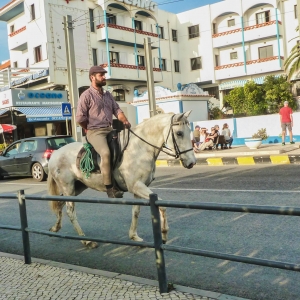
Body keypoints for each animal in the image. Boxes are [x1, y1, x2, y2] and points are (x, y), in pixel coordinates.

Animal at [47, 111, 196, 247]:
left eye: (189, 130)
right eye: (179, 133)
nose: (192, 162)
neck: (140, 149)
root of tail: (55, 154)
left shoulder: (139, 188)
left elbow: (136, 211)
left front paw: (134, 236)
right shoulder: (136, 186)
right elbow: (162, 206)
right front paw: (164, 235)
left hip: (77, 188)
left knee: (59, 203)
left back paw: (56, 227)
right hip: (68, 187)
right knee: (70, 211)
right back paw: (85, 240)